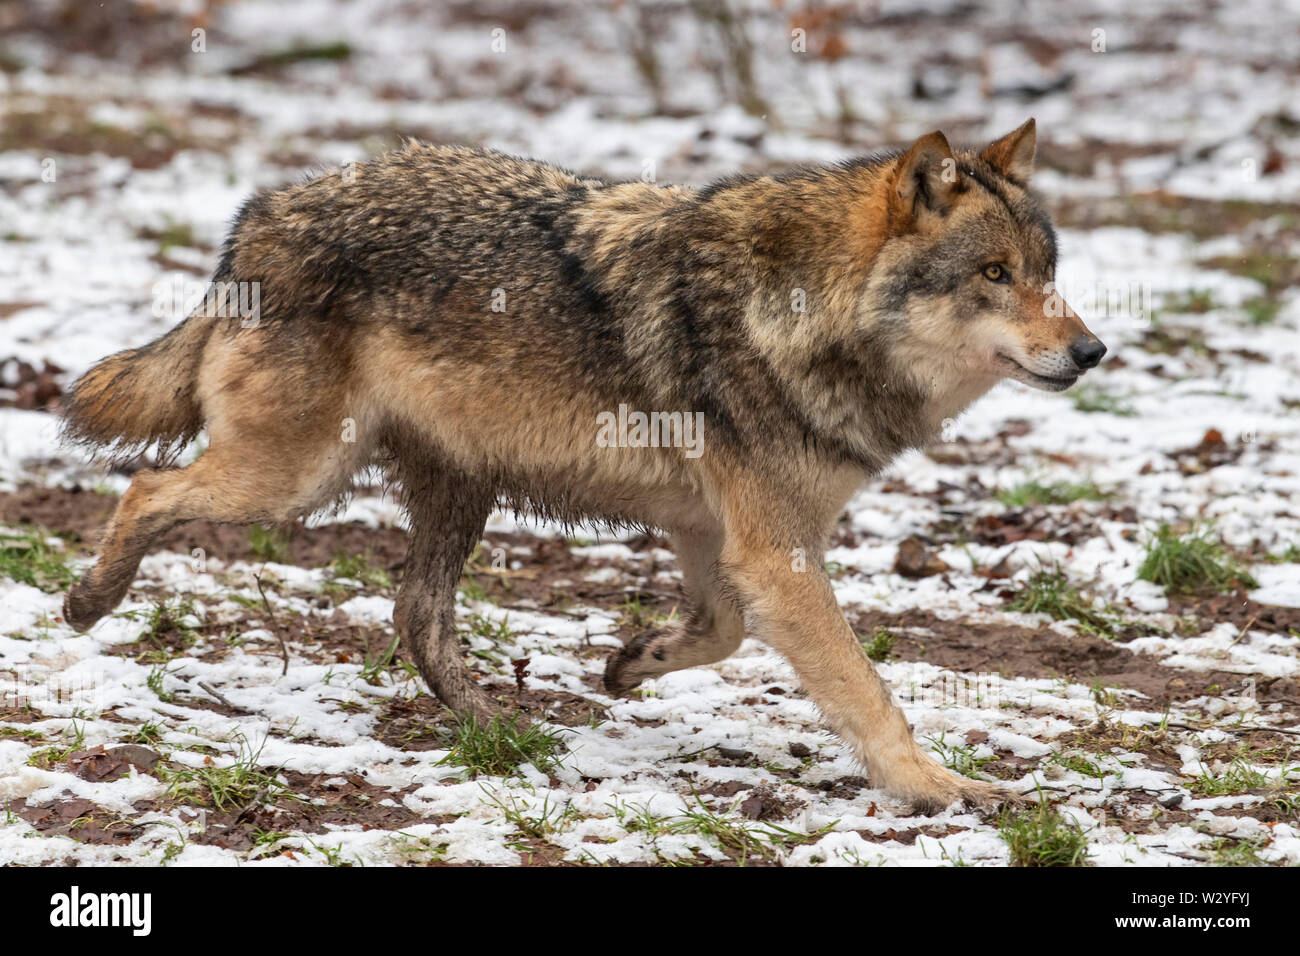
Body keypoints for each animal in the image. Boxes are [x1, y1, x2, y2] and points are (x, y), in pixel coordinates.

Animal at [63, 115, 1107, 811]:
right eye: (993, 276)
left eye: (1047, 273)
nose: (1092, 352)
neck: (807, 311)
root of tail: (261, 213)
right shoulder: (775, 552)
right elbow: (867, 690)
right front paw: (937, 786)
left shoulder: (716, 537)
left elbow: (720, 633)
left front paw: (630, 663)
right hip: (297, 482)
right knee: (150, 486)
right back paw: (88, 602)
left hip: (452, 489)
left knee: (415, 615)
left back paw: (502, 728)